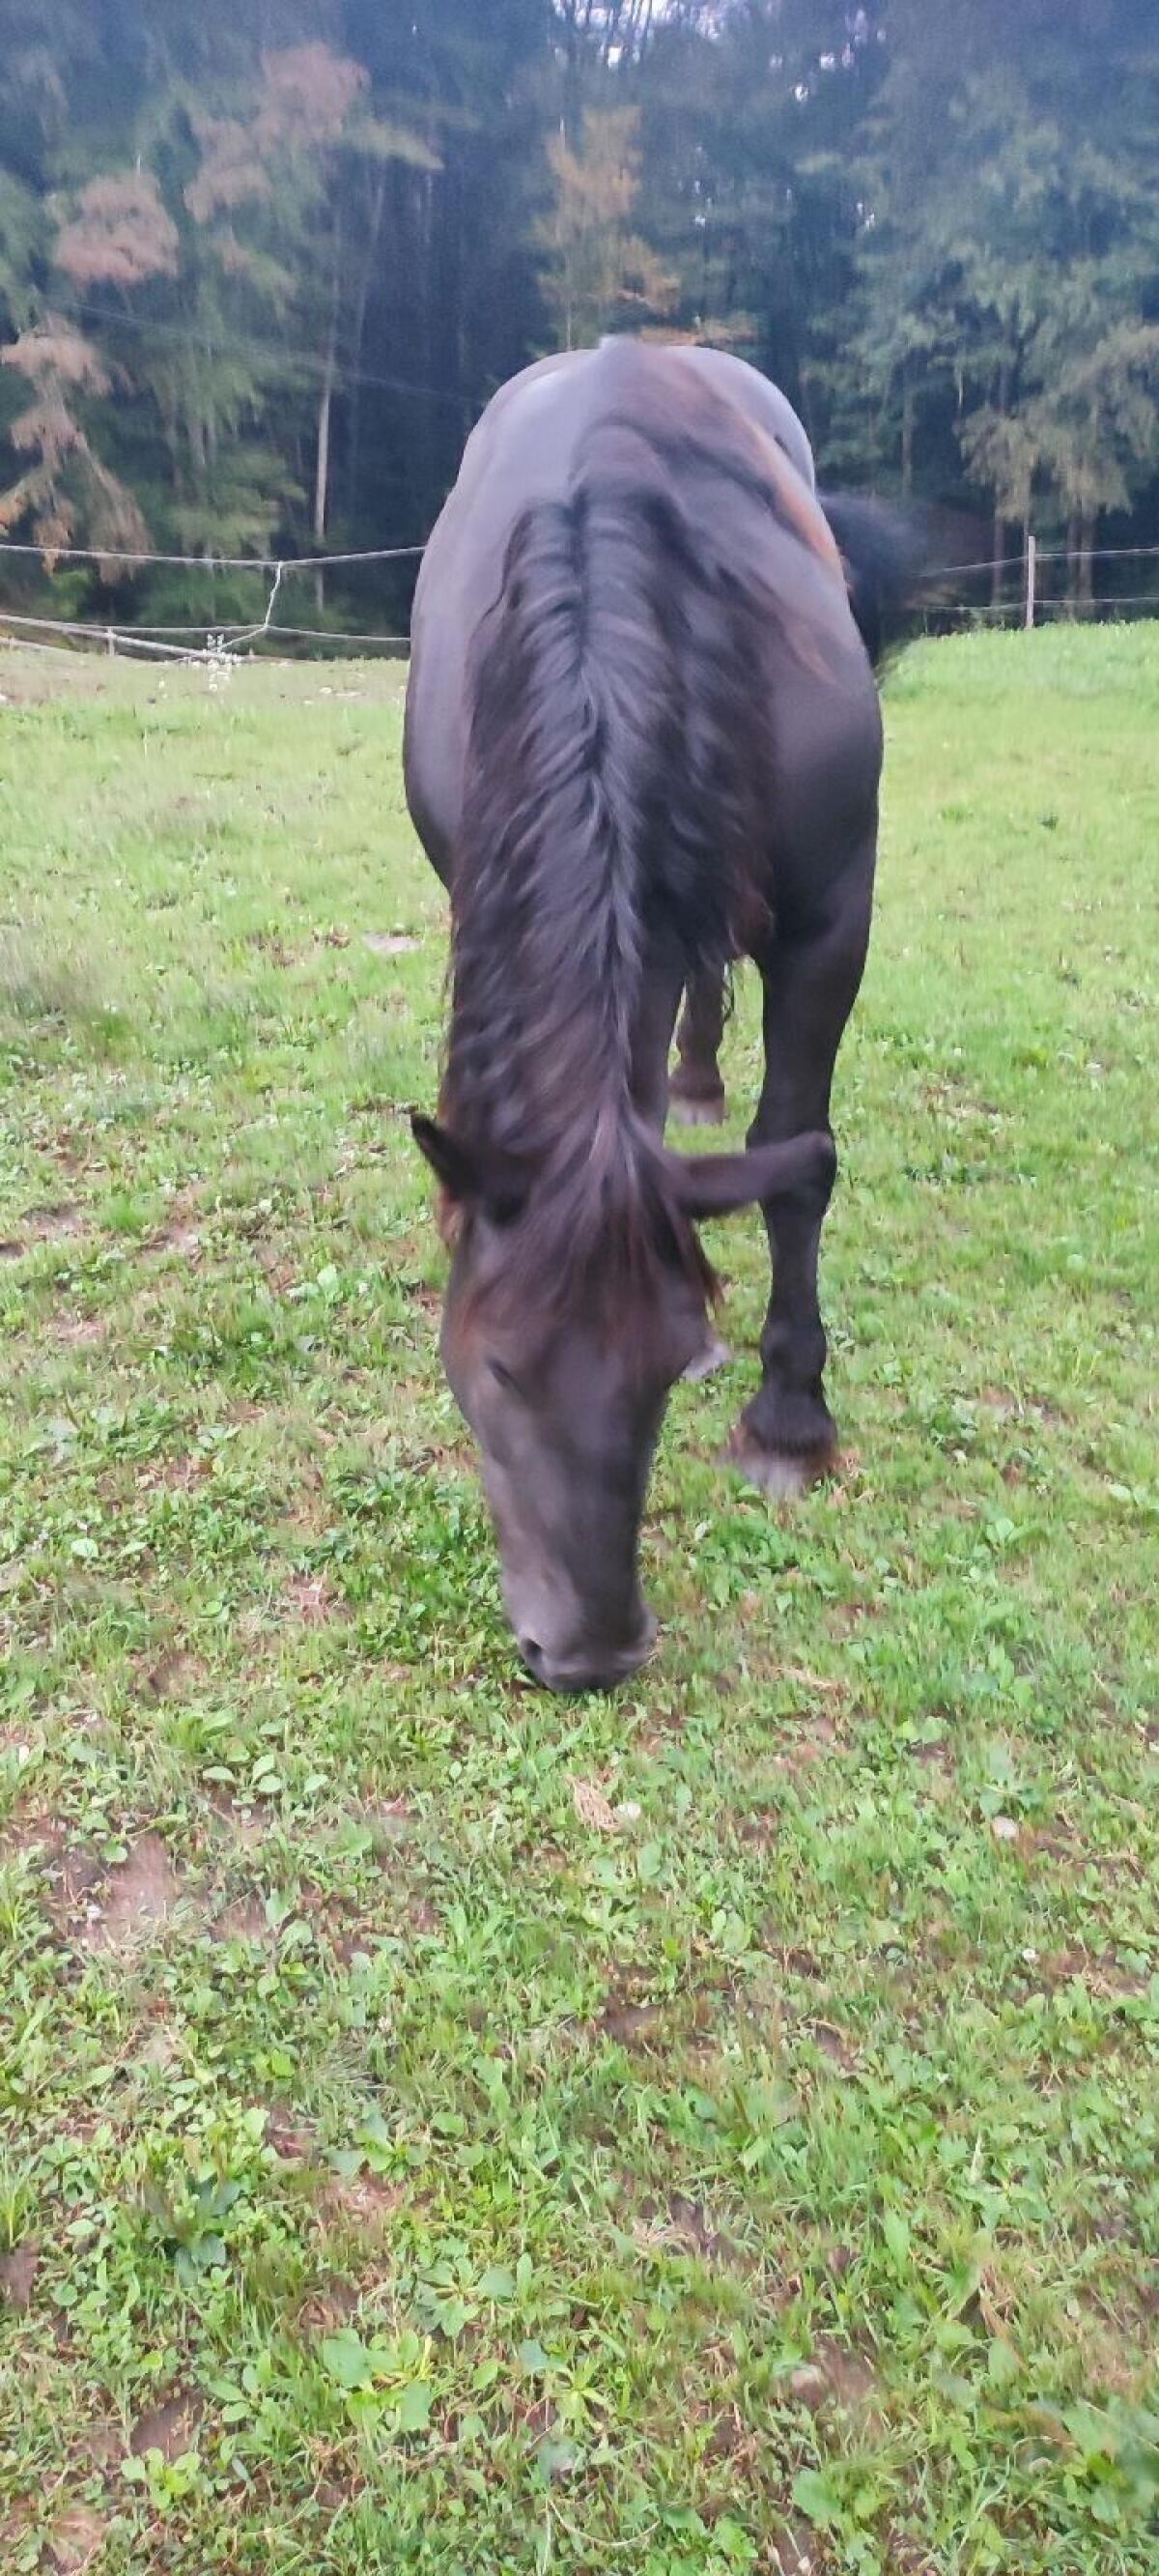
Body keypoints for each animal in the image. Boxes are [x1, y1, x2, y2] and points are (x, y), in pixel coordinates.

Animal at [404, 337, 912, 1692]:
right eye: (494, 1366)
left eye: (669, 1366)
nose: (588, 1651)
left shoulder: (832, 916)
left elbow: (798, 1156)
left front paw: (789, 1417)